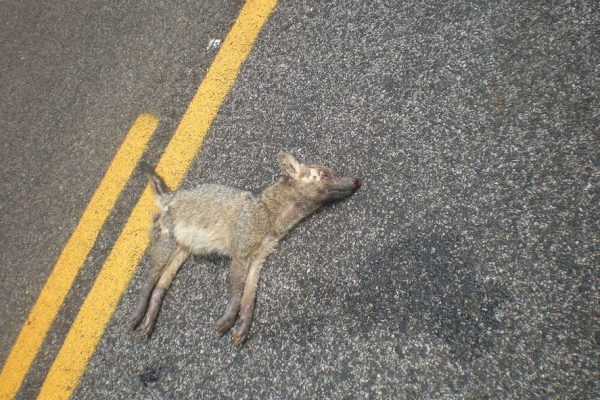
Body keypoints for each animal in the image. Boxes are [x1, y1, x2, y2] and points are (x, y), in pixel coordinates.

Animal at [130, 152, 362, 346]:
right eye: (325, 174)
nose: (357, 181)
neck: (269, 214)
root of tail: (170, 197)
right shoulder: (241, 253)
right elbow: (236, 291)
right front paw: (228, 319)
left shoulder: (259, 257)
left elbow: (249, 297)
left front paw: (242, 327)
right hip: (166, 247)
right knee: (150, 280)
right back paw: (138, 315)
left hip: (181, 253)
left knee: (159, 286)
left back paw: (148, 322)